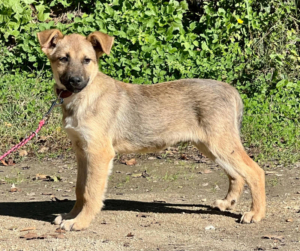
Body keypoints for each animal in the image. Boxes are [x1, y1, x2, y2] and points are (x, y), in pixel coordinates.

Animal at [37, 28, 264, 230]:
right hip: (211, 146)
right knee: (237, 175)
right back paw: (227, 203)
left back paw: (256, 213)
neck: (84, 97)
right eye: (63, 59)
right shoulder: (82, 151)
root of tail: (230, 89)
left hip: (221, 144)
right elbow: (80, 189)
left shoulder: (99, 153)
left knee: (255, 172)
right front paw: (71, 216)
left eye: (87, 60)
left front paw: (80, 222)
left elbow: (91, 192)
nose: (75, 81)